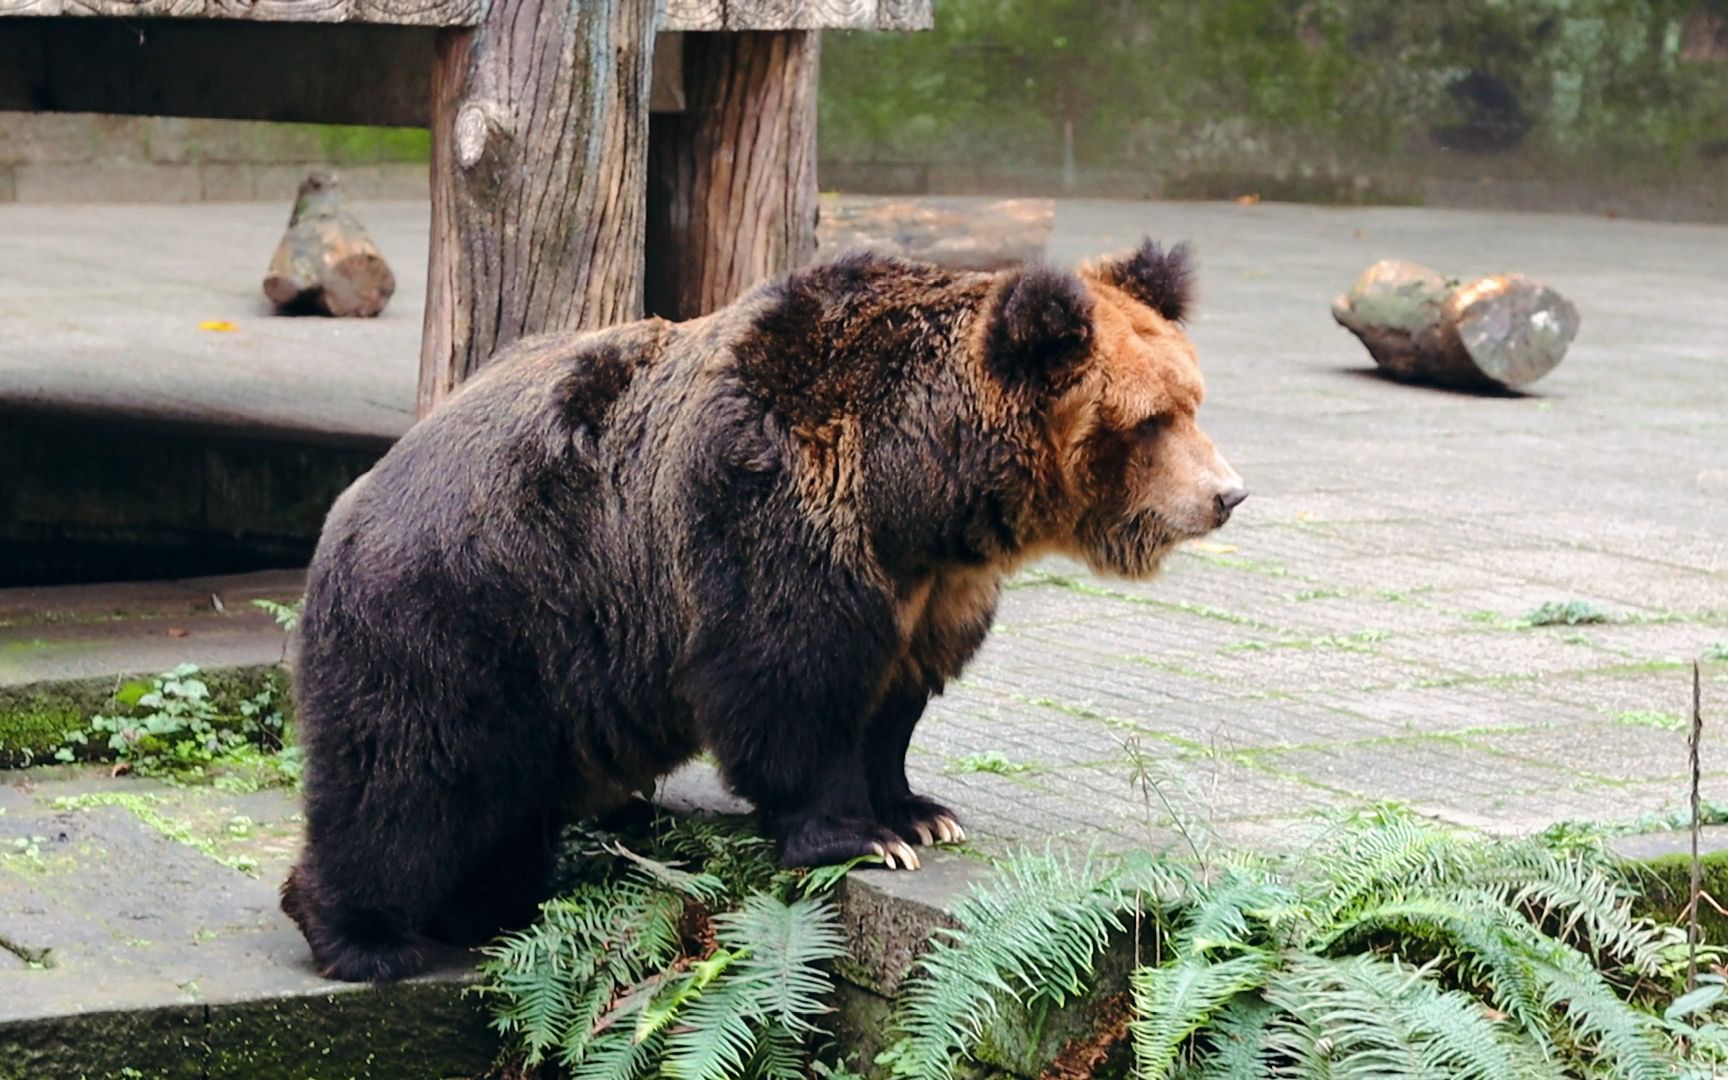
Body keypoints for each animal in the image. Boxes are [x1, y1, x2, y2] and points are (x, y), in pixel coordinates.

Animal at [290, 240, 1251, 981]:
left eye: (1194, 400)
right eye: (1151, 419)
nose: (1227, 494)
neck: (919, 494)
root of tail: (359, 495)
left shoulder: (928, 593)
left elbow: (891, 708)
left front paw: (917, 810)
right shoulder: (774, 518)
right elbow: (789, 690)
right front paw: (858, 837)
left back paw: (485, 905)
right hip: (461, 615)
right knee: (406, 781)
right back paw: (364, 936)